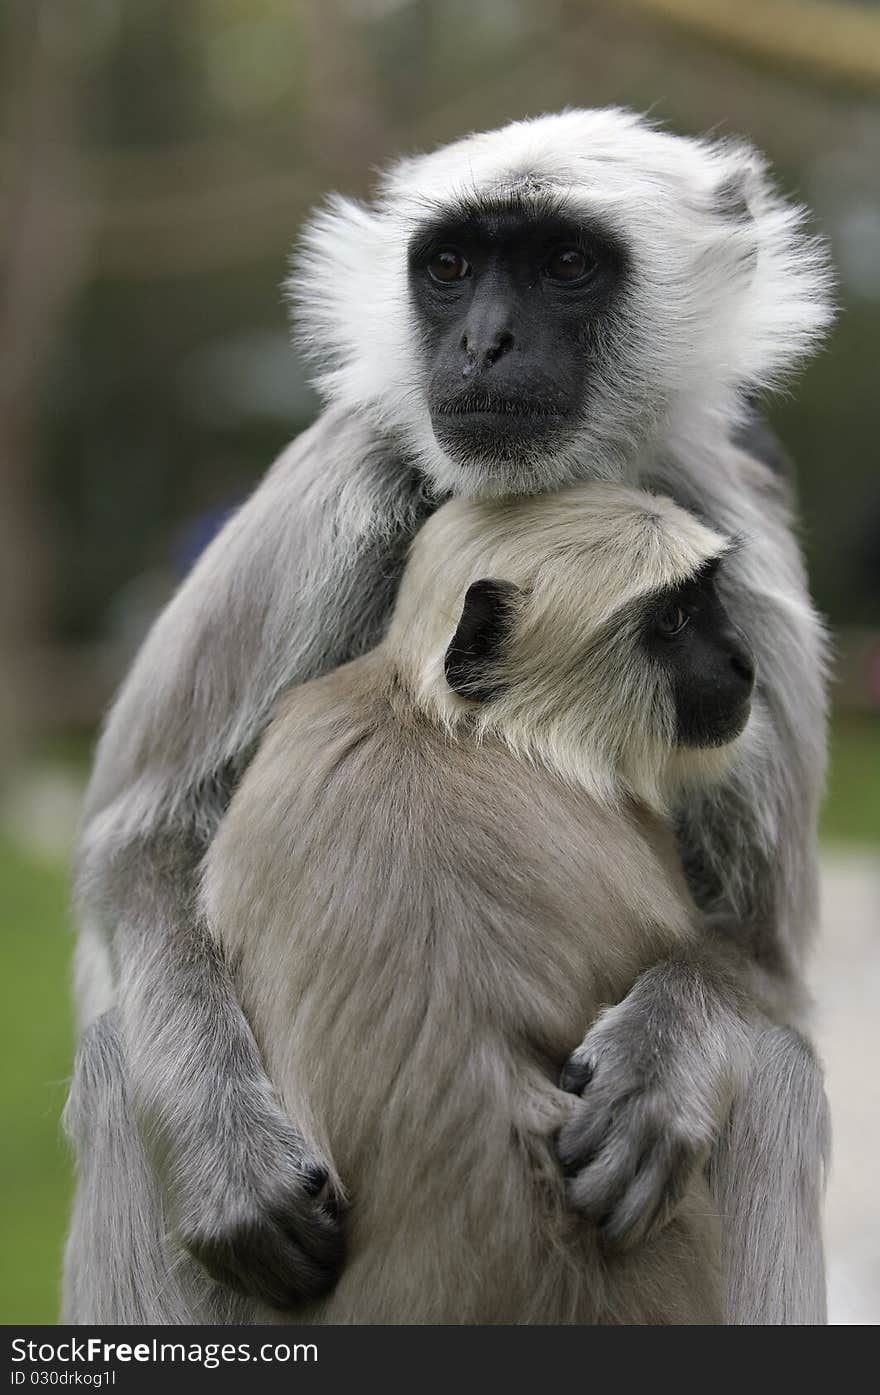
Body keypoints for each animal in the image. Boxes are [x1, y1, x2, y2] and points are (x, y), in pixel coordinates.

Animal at [69, 108, 831, 1316]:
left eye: (563, 264)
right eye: (450, 268)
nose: (482, 345)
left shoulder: (730, 531)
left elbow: (765, 954)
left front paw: (659, 1072)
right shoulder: (355, 466)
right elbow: (141, 836)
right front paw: (228, 1164)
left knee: (780, 1071)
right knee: (110, 1064)